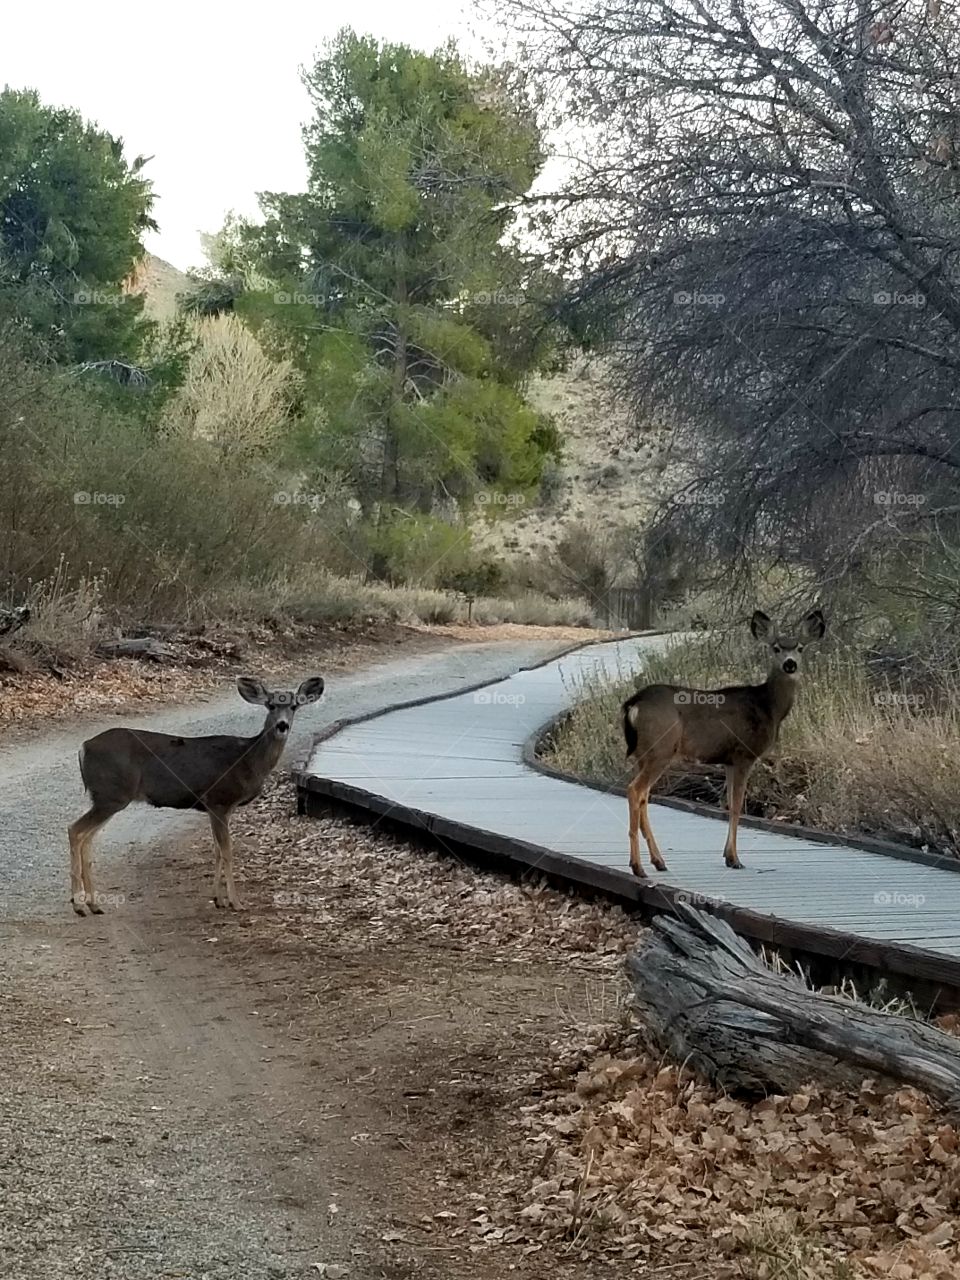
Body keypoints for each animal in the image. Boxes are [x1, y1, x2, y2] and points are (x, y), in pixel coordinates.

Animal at [68, 675, 327, 916]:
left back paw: (93, 904)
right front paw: (236, 902)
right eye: (271, 705)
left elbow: (217, 851)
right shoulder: (218, 800)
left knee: (87, 837)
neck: (247, 761)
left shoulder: (219, 807)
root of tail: (83, 747)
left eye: (294, 706)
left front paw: (219, 899)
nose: (282, 726)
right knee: (76, 830)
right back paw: (80, 905)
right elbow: (227, 851)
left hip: (107, 797)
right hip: (112, 794)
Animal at [624, 606, 829, 875]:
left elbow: (729, 805)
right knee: (635, 790)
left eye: (800, 647)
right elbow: (737, 805)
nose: (790, 664)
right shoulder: (744, 754)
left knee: (644, 796)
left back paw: (658, 861)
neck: (768, 708)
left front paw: (726, 855)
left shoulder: (729, 760)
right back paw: (638, 866)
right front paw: (734, 858)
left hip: (644, 753)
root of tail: (634, 704)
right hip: (661, 749)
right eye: (776, 648)